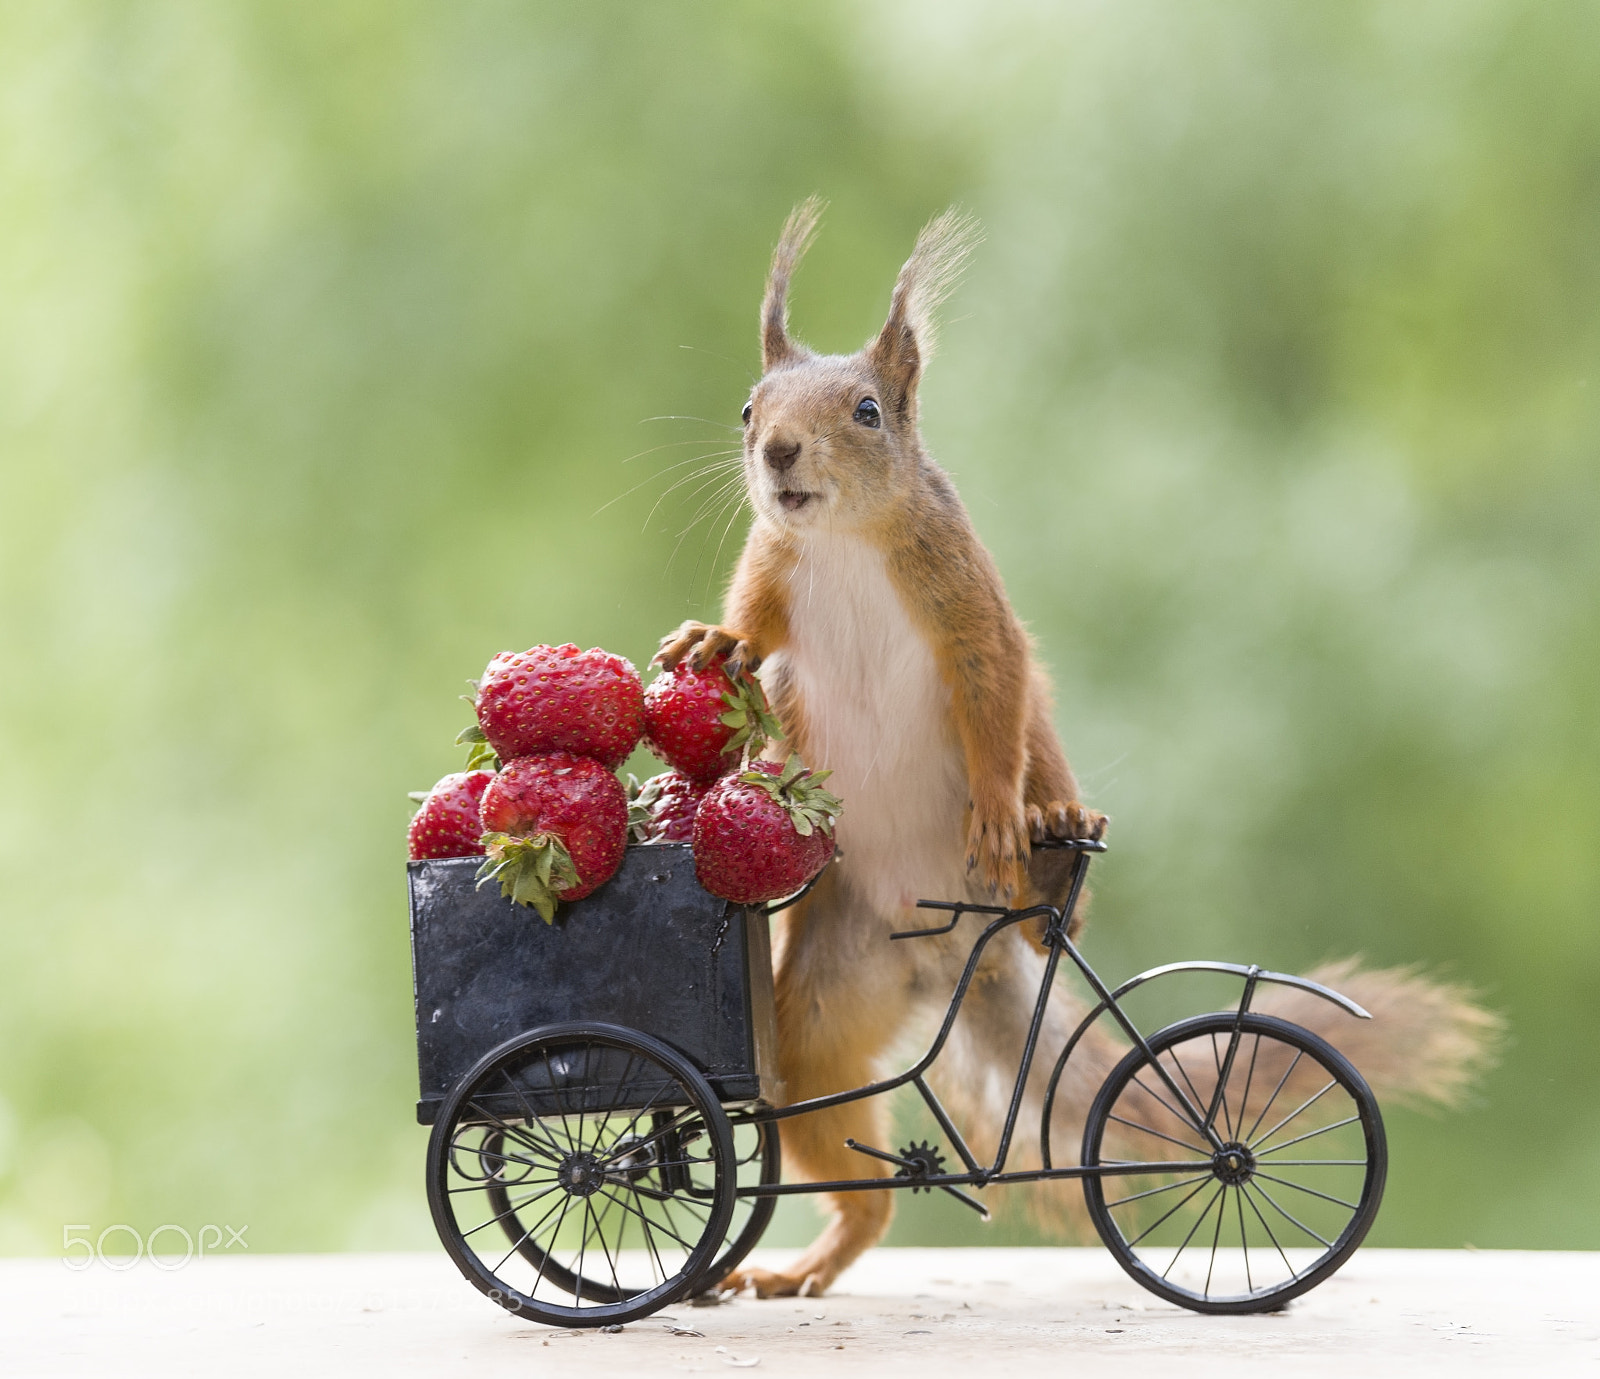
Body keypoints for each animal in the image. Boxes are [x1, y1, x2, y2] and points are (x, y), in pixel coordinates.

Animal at [656, 200, 1499, 1299]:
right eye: (749, 409)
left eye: (868, 410)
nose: (781, 453)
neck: (842, 544)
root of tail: (942, 953)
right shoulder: (772, 571)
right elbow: (751, 630)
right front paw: (713, 646)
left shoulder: (972, 608)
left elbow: (996, 696)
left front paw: (996, 804)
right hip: (819, 1015)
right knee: (849, 1156)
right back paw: (804, 1261)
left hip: (1006, 852)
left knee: (1042, 815)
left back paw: (1050, 834)